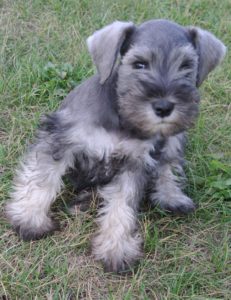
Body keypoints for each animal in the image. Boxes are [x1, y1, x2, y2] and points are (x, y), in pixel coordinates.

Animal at [5, 18, 226, 272]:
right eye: (139, 64)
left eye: (187, 66)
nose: (164, 106)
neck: (121, 118)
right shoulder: (61, 139)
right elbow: (42, 180)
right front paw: (29, 219)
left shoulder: (134, 163)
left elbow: (123, 206)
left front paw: (116, 248)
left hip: (172, 138)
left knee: (168, 166)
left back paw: (171, 197)